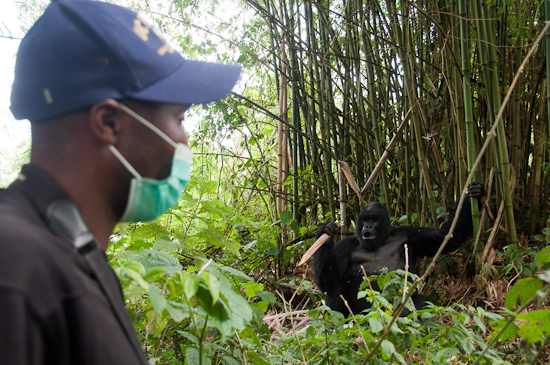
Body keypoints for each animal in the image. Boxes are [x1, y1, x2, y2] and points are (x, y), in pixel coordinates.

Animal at [314, 182, 488, 316]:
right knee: (334, 290)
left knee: (419, 302)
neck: (380, 240)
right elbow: (328, 282)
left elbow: (445, 237)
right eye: (364, 220)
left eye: (374, 220)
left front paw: (474, 194)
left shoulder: (410, 235)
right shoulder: (344, 246)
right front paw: (325, 233)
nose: (367, 226)